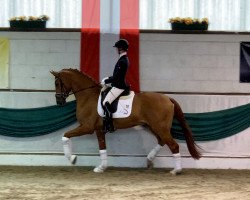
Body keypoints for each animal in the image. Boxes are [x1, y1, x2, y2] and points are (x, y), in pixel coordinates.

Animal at [50, 68, 201, 173]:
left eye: (57, 83)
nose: (59, 102)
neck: (87, 96)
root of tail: (168, 98)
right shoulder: (99, 130)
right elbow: (102, 148)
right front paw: (101, 167)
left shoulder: (87, 127)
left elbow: (65, 136)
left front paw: (72, 158)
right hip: (153, 127)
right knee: (162, 141)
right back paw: (149, 160)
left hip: (160, 127)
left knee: (173, 145)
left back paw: (176, 170)